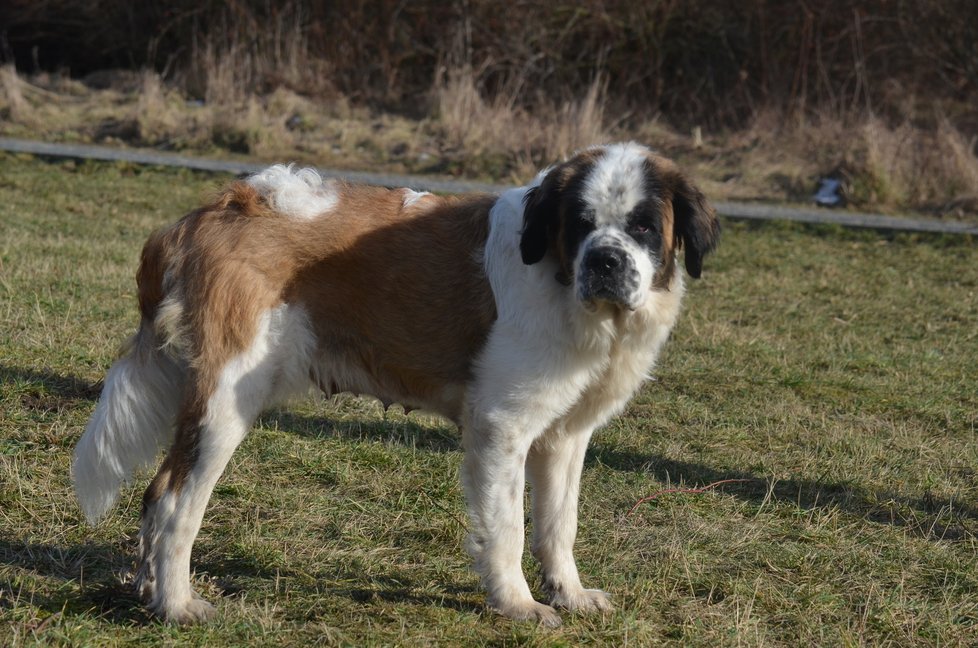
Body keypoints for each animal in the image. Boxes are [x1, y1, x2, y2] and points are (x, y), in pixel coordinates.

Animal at [74, 140, 716, 624]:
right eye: (581, 225)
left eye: (642, 228)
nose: (605, 260)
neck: (563, 285)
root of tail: (207, 213)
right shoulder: (502, 428)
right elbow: (507, 528)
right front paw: (517, 605)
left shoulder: (563, 439)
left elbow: (559, 525)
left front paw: (570, 595)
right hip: (225, 404)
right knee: (176, 500)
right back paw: (177, 605)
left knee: (156, 494)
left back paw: (147, 591)